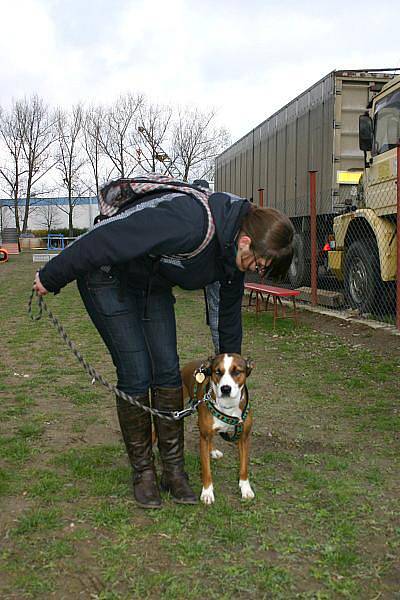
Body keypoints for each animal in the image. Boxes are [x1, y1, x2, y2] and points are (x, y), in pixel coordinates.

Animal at [180, 354, 253, 504]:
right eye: (218, 372)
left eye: (237, 372)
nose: (225, 389)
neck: (228, 406)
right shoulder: (204, 438)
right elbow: (206, 470)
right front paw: (207, 492)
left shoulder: (244, 437)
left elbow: (244, 467)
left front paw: (245, 488)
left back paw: (212, 450)